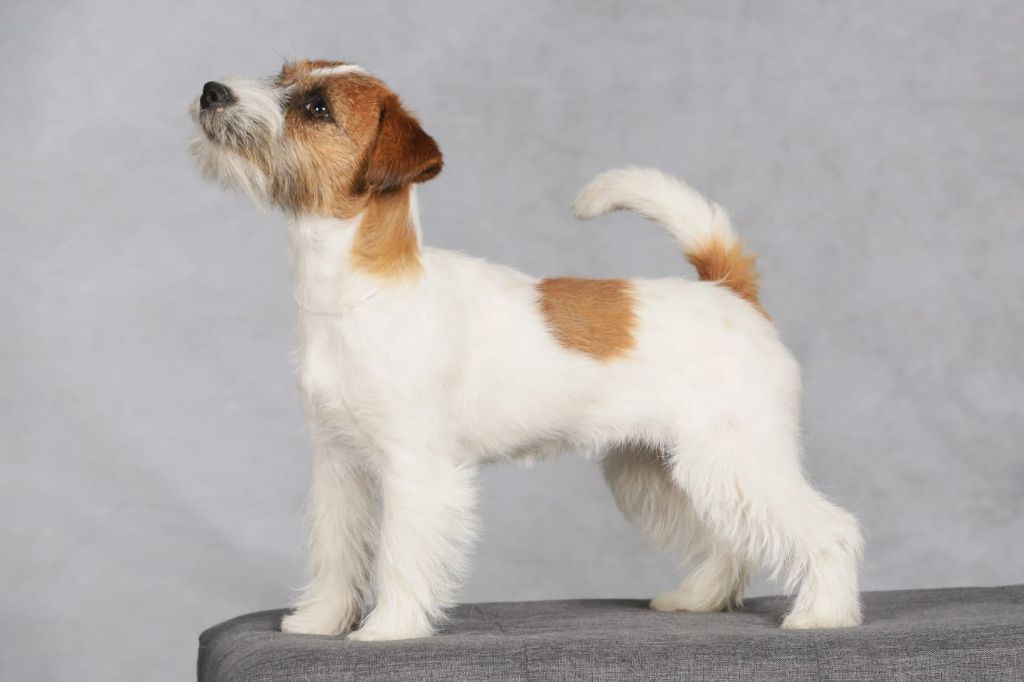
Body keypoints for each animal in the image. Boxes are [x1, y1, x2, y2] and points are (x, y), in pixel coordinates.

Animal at [190, 59, 863, 641]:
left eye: (316, 107)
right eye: (282, 75)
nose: (212, 91)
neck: (357, 290)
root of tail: (729, 289)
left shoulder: (416, 468)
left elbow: (399, 555)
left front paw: (388, 629)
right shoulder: (339, 467)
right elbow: (335, 549)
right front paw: (321, 621)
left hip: (736, 459)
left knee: (830, 530)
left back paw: (824, 615)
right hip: (661, 469)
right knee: (728, 539)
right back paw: (699, 599)